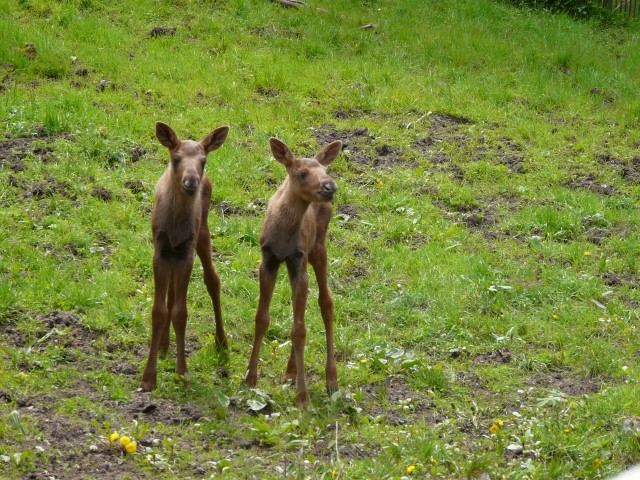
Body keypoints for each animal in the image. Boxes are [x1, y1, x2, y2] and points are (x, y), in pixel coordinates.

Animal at [140, 122, 230, 392]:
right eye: (176, 158)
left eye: (203, 161)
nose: (191, 181)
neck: (176, 224)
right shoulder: (160, 252)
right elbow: (158, 310)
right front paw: (148, 377)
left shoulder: (186, 253)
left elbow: (181, 312)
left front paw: (181, 373)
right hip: (173, 253)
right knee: (171, 293)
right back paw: (162, 345)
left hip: (202, 232)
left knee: (213, 279)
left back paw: (222, 341)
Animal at [246, 137, 344, 406]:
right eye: (302, 173)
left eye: (325, 170)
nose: (330, 186)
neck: (284, 234)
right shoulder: (268, 260)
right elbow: (262, 318)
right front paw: (249, 378)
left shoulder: (298, 260)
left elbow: (299, 330)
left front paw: (302, 396)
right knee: (303, 306)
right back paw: (290, 372)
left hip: (318, 248)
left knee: (326, 302)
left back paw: (331, 378)